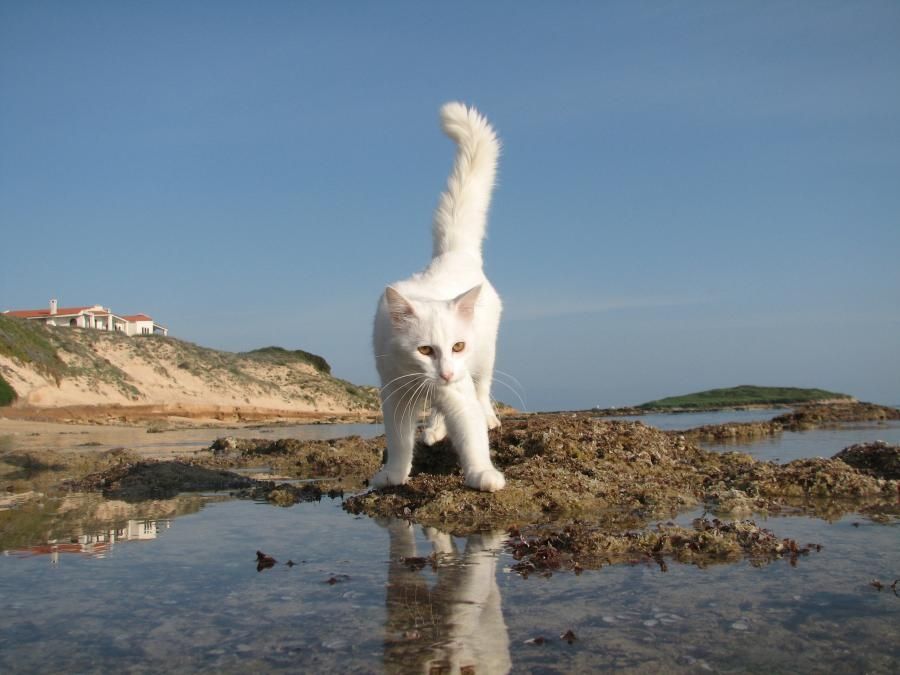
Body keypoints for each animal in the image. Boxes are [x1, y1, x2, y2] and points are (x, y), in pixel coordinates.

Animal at [370, 101, 502, 492]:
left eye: (457, 346)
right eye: (425, 350)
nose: (444, 372)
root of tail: (454, 254)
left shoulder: (458, 389)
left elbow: (472, 438)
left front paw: (483, 475)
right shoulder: (395, 394)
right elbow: (399, 442)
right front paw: (394, 475)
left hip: (484, 358)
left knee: (482, 391)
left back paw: (486, 417)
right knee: (435, 416)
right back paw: (432, 430)